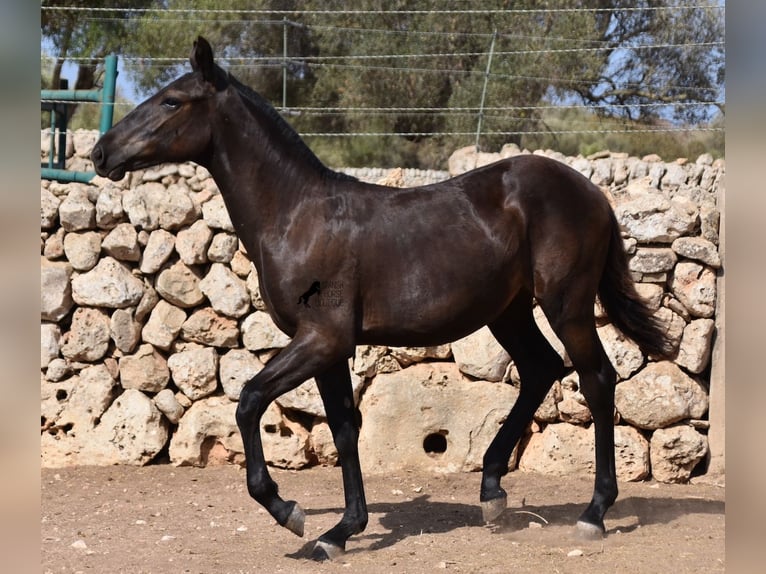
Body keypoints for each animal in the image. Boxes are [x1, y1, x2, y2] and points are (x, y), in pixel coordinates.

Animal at [93, 38, 676, 564]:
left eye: (172, 101)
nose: (102, 153)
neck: (297, 215)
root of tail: (593, 193)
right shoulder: (327, 348)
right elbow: (343, 428)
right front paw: (338, 532)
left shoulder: (322, 339)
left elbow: (250, 400)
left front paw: (289, 512)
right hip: (507, 312)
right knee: (540, 369)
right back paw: (492, 492)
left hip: (567, 305)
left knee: (596, 379)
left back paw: (593, 513)